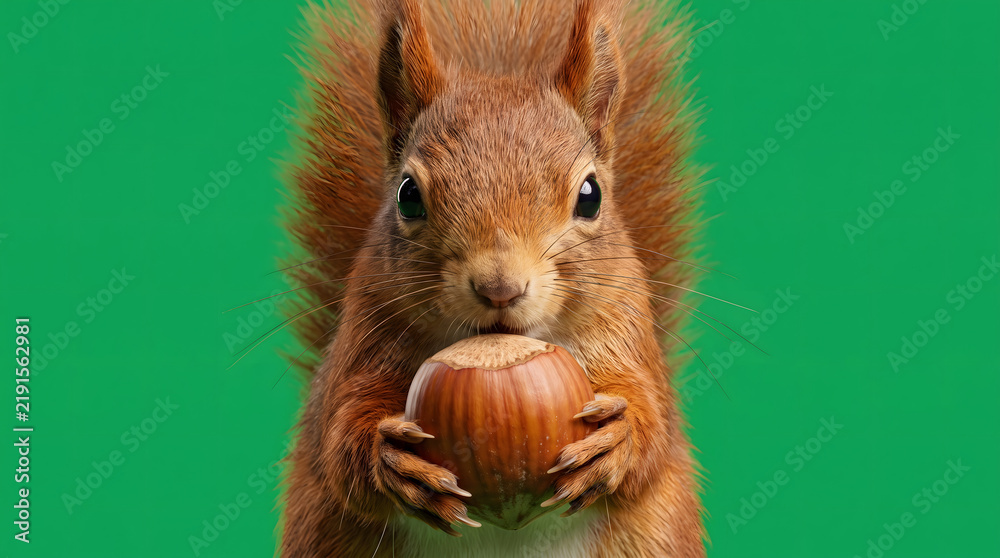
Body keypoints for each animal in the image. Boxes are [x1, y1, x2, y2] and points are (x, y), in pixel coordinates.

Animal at [278, 0, 706, 556]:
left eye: (590, 196)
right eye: (407, 195)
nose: (499, 288)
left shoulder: (625, 329)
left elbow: (651, 419)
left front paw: (619, 438)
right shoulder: (365, 332)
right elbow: (340, 436)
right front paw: (389, 458)